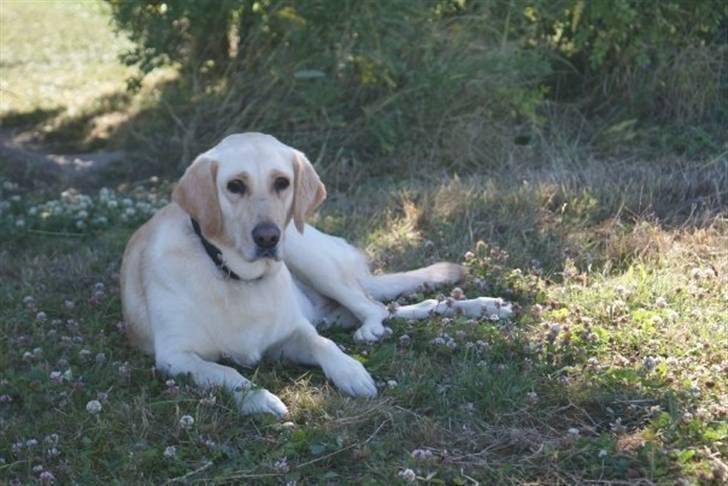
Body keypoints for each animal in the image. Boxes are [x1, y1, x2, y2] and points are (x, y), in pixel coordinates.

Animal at [121, 134, 512, 418]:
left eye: (281, 182)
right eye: (235, 185)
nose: (267, 237)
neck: (235, 275)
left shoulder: (292, 334)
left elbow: (324, 345)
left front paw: (351, 372)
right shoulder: (176, 357)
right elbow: (225, 373)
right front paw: (260, 399)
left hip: (309, 256)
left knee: (376, 309)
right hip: (328, 301)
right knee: (405, 308)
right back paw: (485, 307)